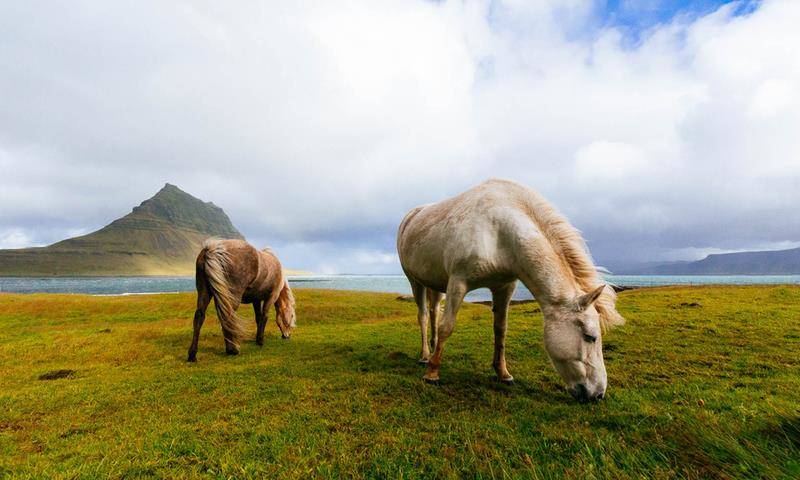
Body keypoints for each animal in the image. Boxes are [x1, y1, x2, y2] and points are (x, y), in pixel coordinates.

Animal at [398, 179, 624, 402]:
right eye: (590, 337)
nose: (598, 394)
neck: (498, 231)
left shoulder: (504, 287)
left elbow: (501, 330)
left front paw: (503, 373)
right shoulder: (458, 282)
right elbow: (447, 326)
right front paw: (432, 374)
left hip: (436, 284)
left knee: (434, 312)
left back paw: (433, 348)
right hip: (415, 281)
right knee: (424, 316)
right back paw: (425, 356)